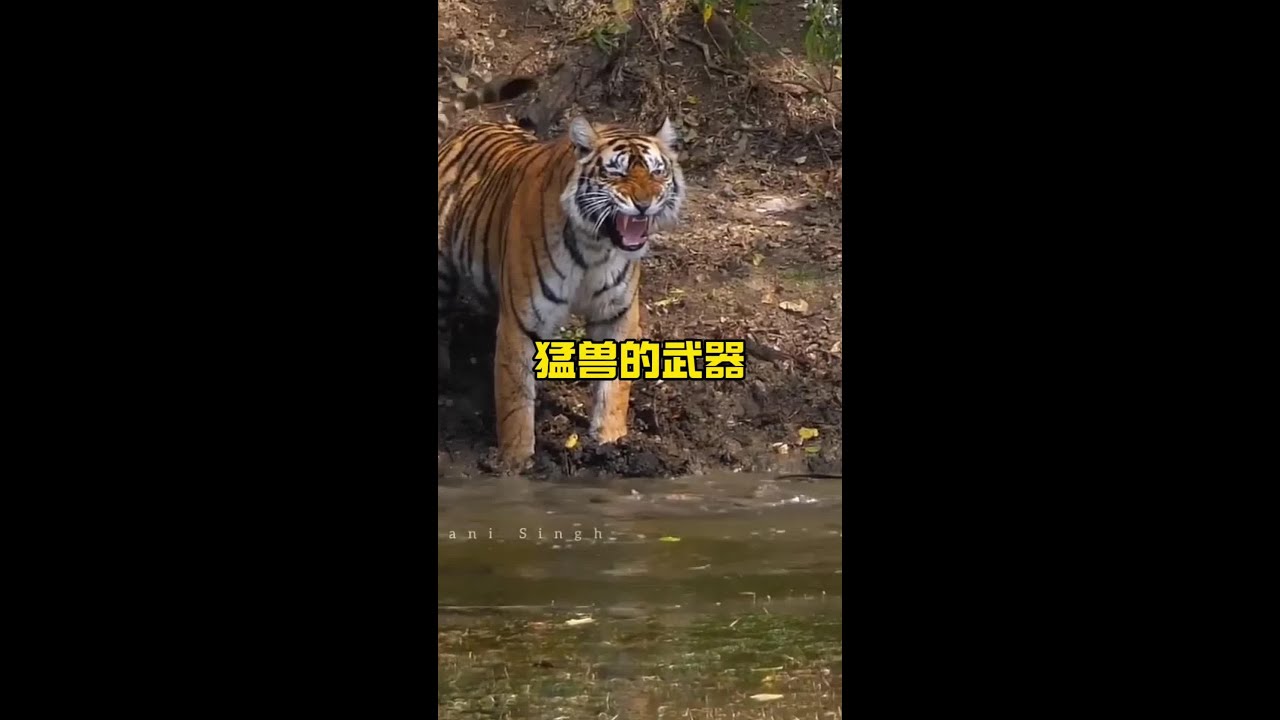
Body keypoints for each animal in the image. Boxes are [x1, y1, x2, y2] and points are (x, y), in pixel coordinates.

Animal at [437, 75, 686, 470]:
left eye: (657, 171)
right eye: (616, 171)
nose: (644, 204)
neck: (596, 248)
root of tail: (464, 130)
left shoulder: (617, 315)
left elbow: (615, 389)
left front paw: (612, 443)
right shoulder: (521, 320)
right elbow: (515, 398)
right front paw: (517, 462)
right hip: (442, 270)